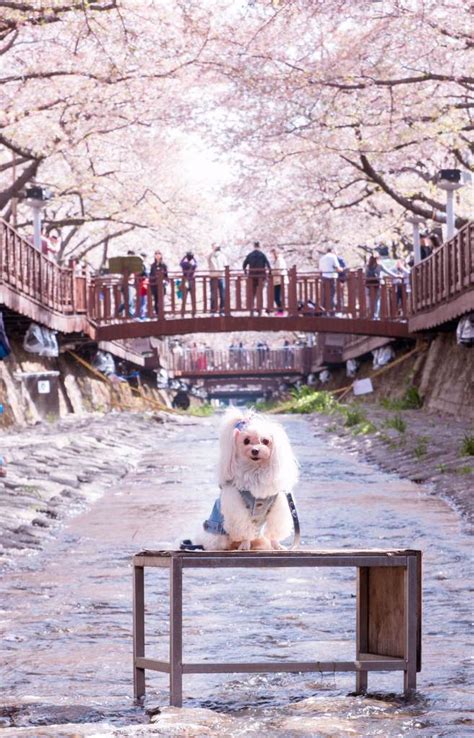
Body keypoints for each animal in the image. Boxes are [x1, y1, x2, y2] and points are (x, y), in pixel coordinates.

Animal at [190, 406, 298, 548]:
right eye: (246, 441)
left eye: (265, 441)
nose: (255, 450)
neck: (255, 470)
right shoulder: (237, 508)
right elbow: (244, 529)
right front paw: (245, 546)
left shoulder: (278, 507)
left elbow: (274, 530)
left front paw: (277, 545)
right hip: (218, 534)